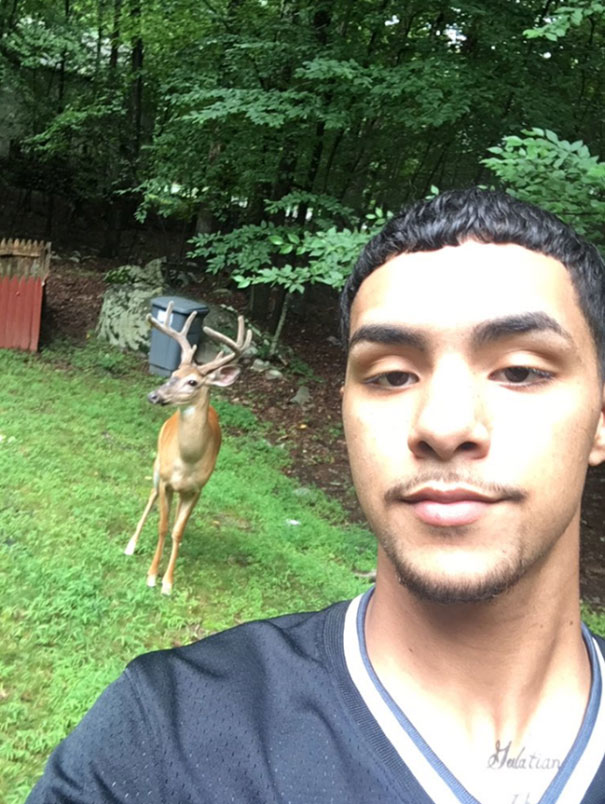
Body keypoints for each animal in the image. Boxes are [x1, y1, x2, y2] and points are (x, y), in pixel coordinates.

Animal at [124, 301, 252, 595]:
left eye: (193, 382)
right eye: (173, 374)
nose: (154, 395)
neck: (187, 461)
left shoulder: (197, 490)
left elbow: (177, 531)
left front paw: (168, 582)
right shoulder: (165, 481)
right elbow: (162, 527)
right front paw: (152, 575)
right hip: (157, 467)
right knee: (150, 499)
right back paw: (131, 544)